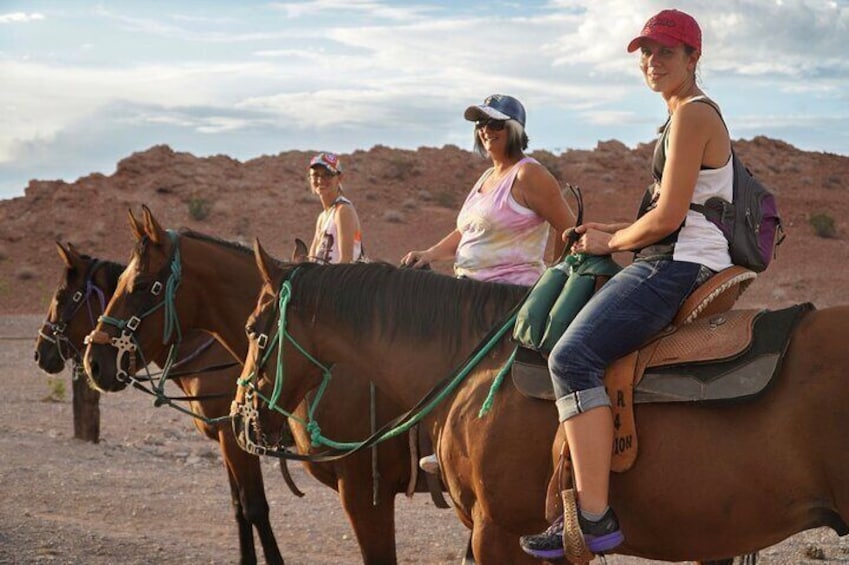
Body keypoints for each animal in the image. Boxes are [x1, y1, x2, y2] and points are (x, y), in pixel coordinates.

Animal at [37, 241, 284, 564]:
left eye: (61, 297)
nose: (39, 352)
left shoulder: (234, 440)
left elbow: (254, 507)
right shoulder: (225, 439)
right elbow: (238, 507)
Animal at [84, 207, 444, 564]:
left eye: (141, 285)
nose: (94, 362)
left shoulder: (364, 490)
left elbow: (253, 507)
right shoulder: (231, 437)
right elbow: (240, 505)